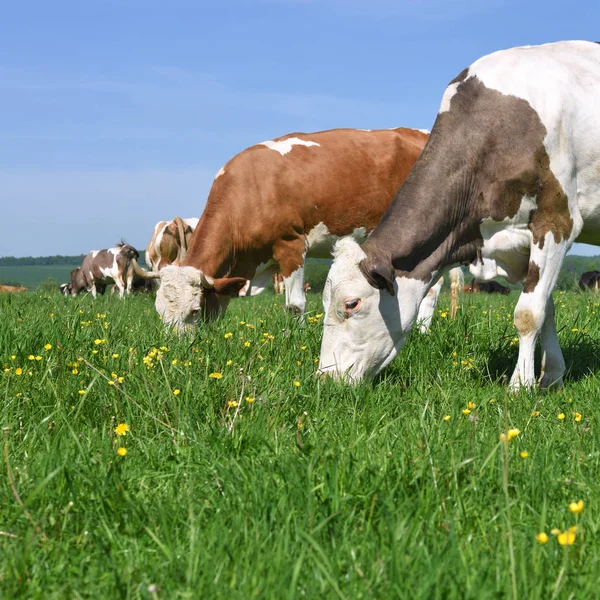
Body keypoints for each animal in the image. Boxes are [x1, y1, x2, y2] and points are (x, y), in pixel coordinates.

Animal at [318, 39, 600, 392]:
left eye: (351, 304)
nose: (324, 379)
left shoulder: (556, 220)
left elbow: (527, 314)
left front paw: (520, 386)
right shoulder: (519, 241)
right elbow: (545, 309)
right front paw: (551, 376)